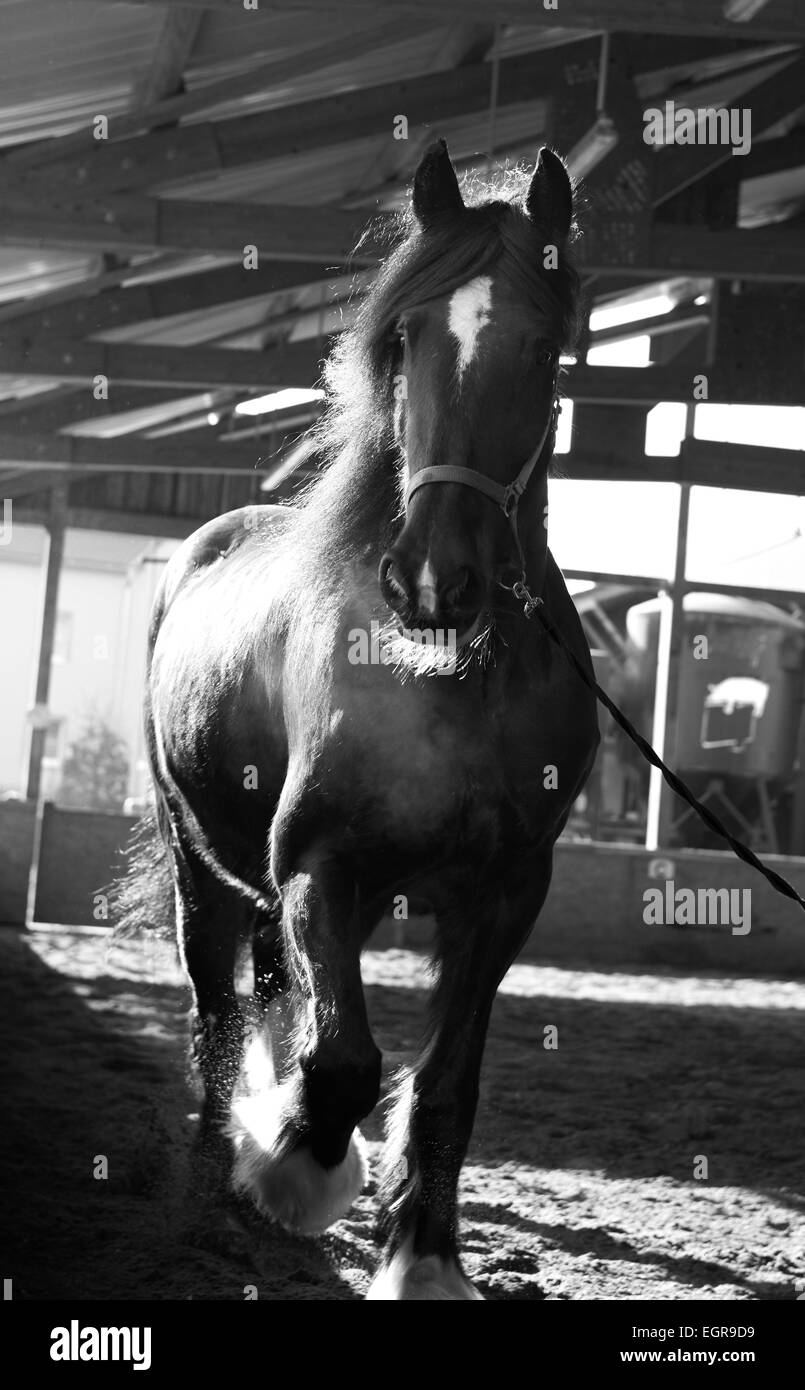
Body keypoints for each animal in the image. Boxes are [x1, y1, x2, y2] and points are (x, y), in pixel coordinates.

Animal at [140, 139, 599, 1300]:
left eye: (544, 347)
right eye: (405, 336)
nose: (433, 579)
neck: (449, 680)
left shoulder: (506, 896)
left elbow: (444, 1083)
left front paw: (423, 1256)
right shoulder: (320, 864)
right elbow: (343, 1059)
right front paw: (293, 1166)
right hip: (202, 867)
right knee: (219, 1012)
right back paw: (219, 1178)